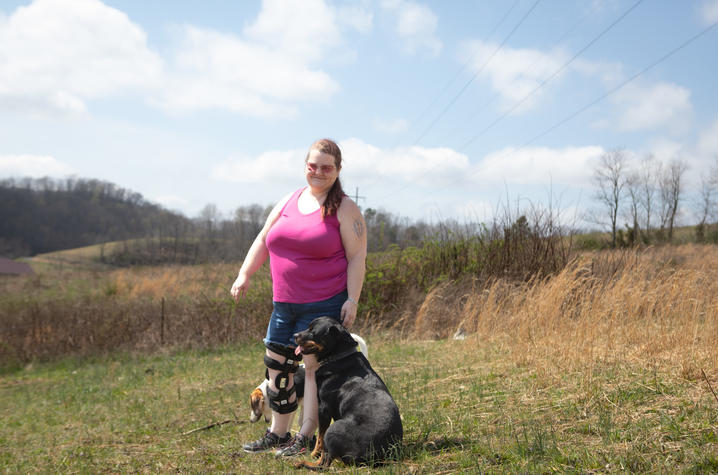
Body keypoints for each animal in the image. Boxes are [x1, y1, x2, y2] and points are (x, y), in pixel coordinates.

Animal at [294, 316, 404, 468]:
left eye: (313, 332)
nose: (294, 335)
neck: (340, 356)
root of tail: (371, 455)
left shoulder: (323, 408)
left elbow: (320, 438)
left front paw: (314, 454)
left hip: (334, 428)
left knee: (324, 463)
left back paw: (303, 462)